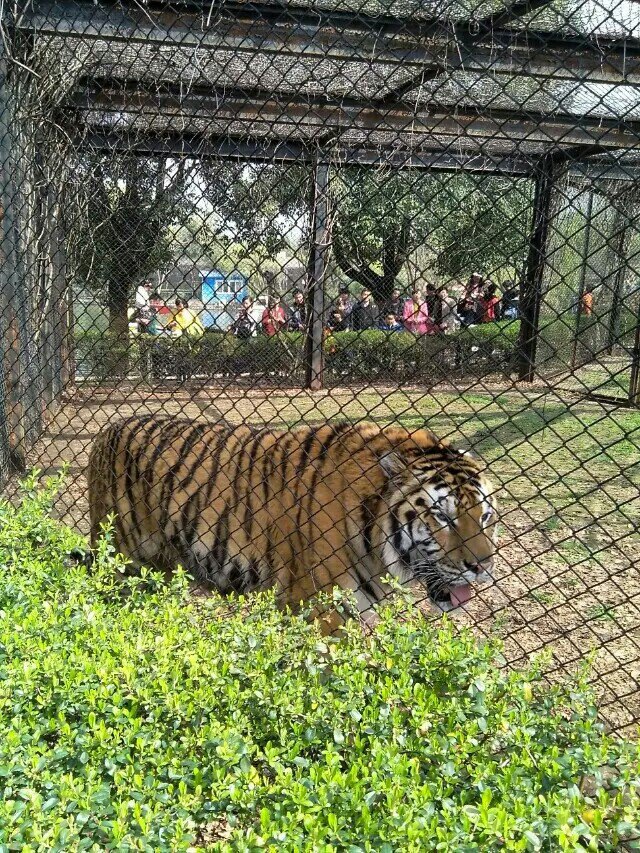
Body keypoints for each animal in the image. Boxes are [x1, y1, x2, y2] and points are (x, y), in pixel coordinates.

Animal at [87, 416, 498, 628]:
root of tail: (107, 429)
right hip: (120, 557)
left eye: (485, 517)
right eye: (442, 516)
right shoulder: (320, 609)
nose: (481, 567)